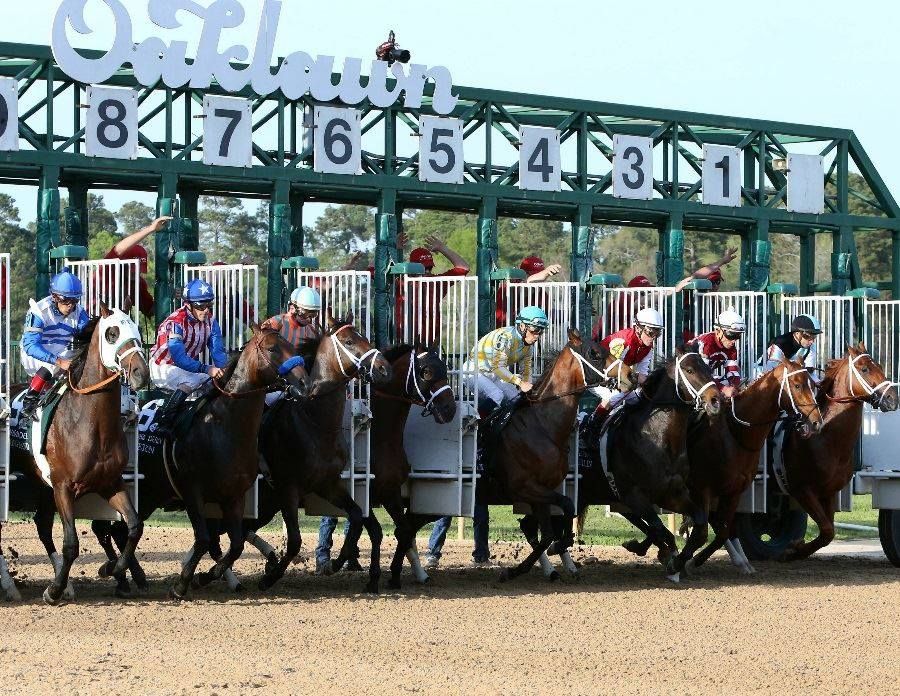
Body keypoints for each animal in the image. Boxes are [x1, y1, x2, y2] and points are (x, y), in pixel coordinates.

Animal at [7, 304, 149, 604]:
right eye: (111, 333)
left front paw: (112, 568)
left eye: (137, 330)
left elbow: (133, 526)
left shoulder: (111, 483)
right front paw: (53, 591)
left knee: (42, 524)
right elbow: (71, 543)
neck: (89, 422)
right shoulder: (63, 486)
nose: (141, 374)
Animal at [684, 362, 824, 572]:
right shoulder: (702, 489)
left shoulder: (733, 491)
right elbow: (709, 528)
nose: (816, 421)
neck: (735, 434)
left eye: (813, 385)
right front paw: (688, 561)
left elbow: (723, 530)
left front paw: (693, 560)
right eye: (798, 385)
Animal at [776, 346, 896, 564]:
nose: (893, 398)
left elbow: (828, 533)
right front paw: (792, 550)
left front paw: (794, 548)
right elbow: (826, 529)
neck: (826, 438)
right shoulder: (802, 489)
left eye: (879, 366)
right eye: (864, 369)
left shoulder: (829, 491)